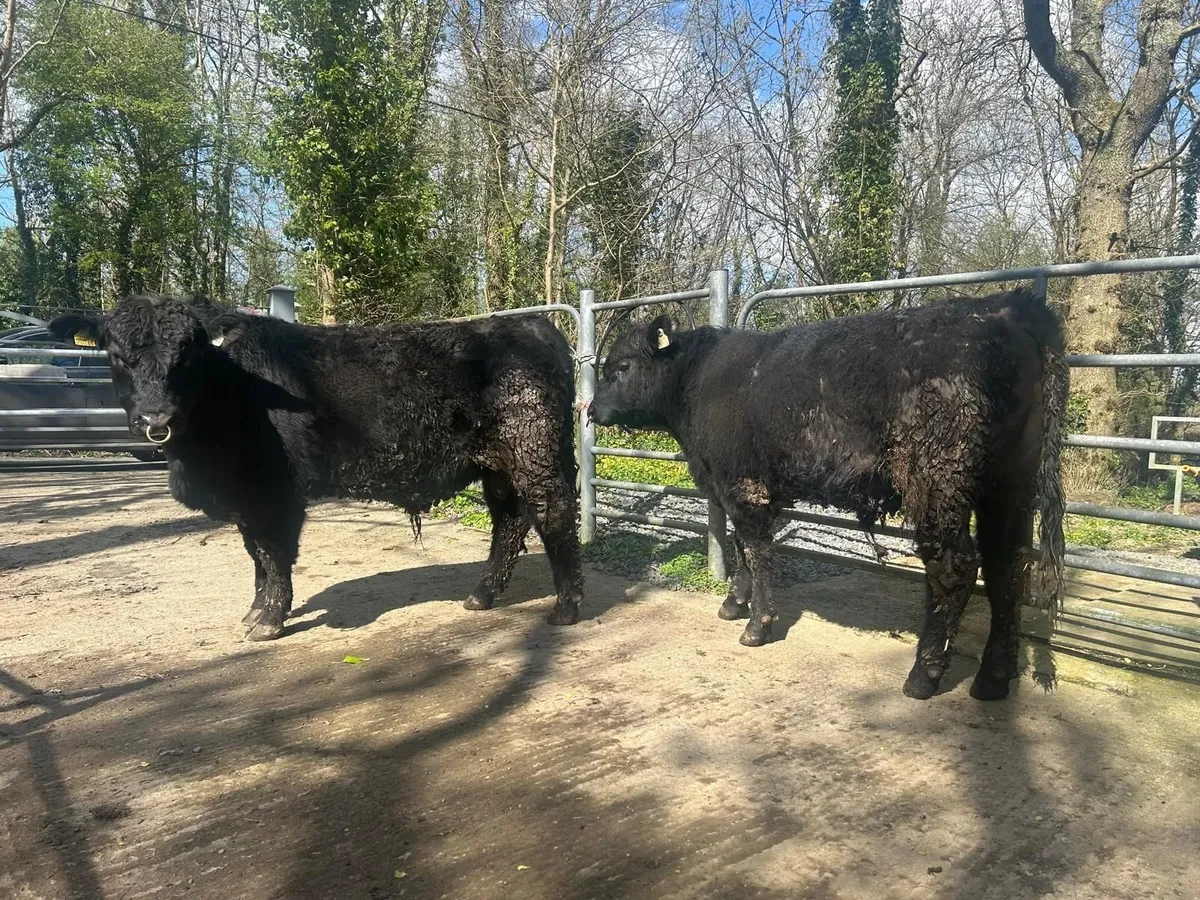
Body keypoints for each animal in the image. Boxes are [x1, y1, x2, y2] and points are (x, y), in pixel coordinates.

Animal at [50, 295, 583, 640]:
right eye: (117, 356)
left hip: (533, 452)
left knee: (555, 515)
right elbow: (254, 555)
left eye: (187, 354)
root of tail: (534, 326)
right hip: (498, 466)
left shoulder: (273, 493)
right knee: (509, 521)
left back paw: (566, 608)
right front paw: (254, 611)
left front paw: (268, 620)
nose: (156, 419)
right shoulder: (245, 500)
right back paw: (481, 595)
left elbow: (273, 554)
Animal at [588, 288, 1067, 701]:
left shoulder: (743, 485)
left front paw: (757, 625)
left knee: (955, 567)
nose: (590, 409)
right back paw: (993, 678)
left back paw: (923, 674)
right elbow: (743, 548)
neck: (699, 382)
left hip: (938, 479)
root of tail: (1007, 306)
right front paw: (734, 603)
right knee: (1008, 566)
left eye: (622, 366)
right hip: (1010, 482)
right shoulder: (741, 489)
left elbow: (757, 550)